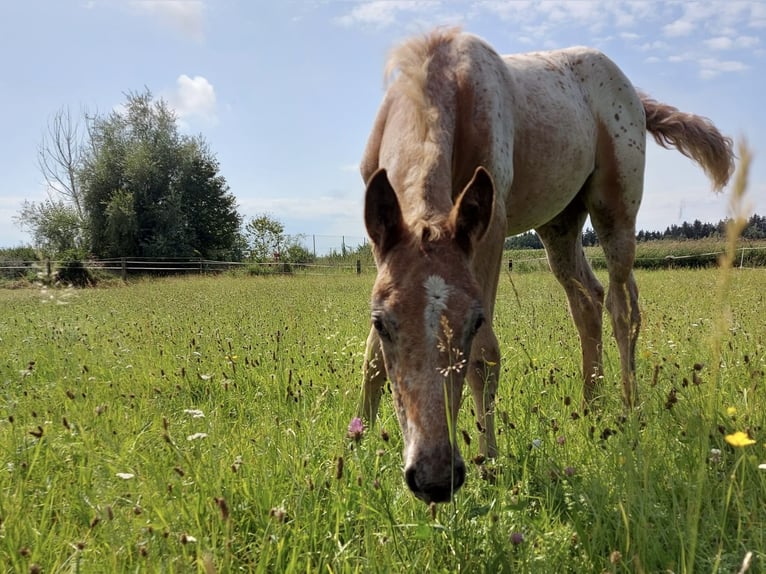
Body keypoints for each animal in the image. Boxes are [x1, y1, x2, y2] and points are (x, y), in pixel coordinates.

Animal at [360, 28, 736, 504]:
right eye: (382, 321)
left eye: (474, 320)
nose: (434, 477)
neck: (441, 79)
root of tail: (633, 93)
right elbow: (372, 359)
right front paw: (357, 444)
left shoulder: (492, 227)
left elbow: (485, 356)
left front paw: (490, 464)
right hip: (559, 225)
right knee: (590, 302)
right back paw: (592, 408)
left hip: (615, 212)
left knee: (621, 306)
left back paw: (629, 408)